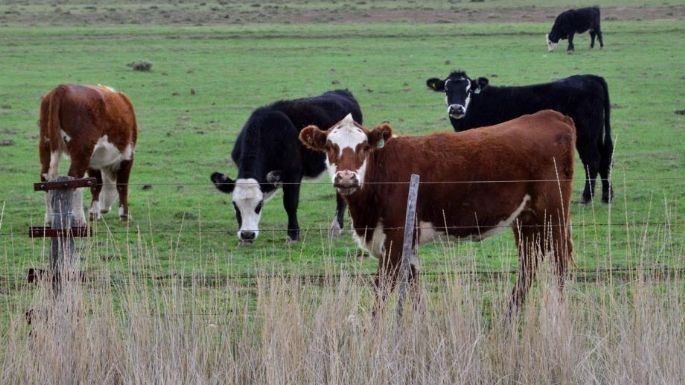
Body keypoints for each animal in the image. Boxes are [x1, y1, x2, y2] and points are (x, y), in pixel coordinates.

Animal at [39, 82, 138, 224]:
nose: (105, 209)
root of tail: (62, 88)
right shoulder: (127, 156)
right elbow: (122, 185)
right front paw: (124, 215)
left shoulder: (93, 162)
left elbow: (96, 184)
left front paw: (94, 212)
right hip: (82, 151)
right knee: (74, 179)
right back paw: (79, 220)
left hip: (46, 144)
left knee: (45, 178)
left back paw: (49, 219)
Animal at [210, 89, 364, 243]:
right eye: (235, 205)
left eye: (259, 205)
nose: (247, 235)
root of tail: (343, 92)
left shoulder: (293, 172)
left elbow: (290, 203)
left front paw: (293, 234)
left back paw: (337, 228)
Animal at [302, 109, 576, 314]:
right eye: (329, 146)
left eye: (364, 147)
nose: (346, 178)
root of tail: (550, 116)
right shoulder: (406, 242)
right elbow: (414, 290)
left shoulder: (395, 238)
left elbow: (382, 291)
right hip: (525, 219)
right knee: (529, 262)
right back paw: (510, 315)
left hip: (553, 213)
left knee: (560, 262)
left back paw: (560, 313)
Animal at [424, 71, 612, 204]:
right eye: (446, 89)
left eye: (468, 89)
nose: (456, 108)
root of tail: (591, 77)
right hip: (596, 133)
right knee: (605, 157)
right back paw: (607, 195)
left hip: (586, 135)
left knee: (592, 160)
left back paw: (586, 197)